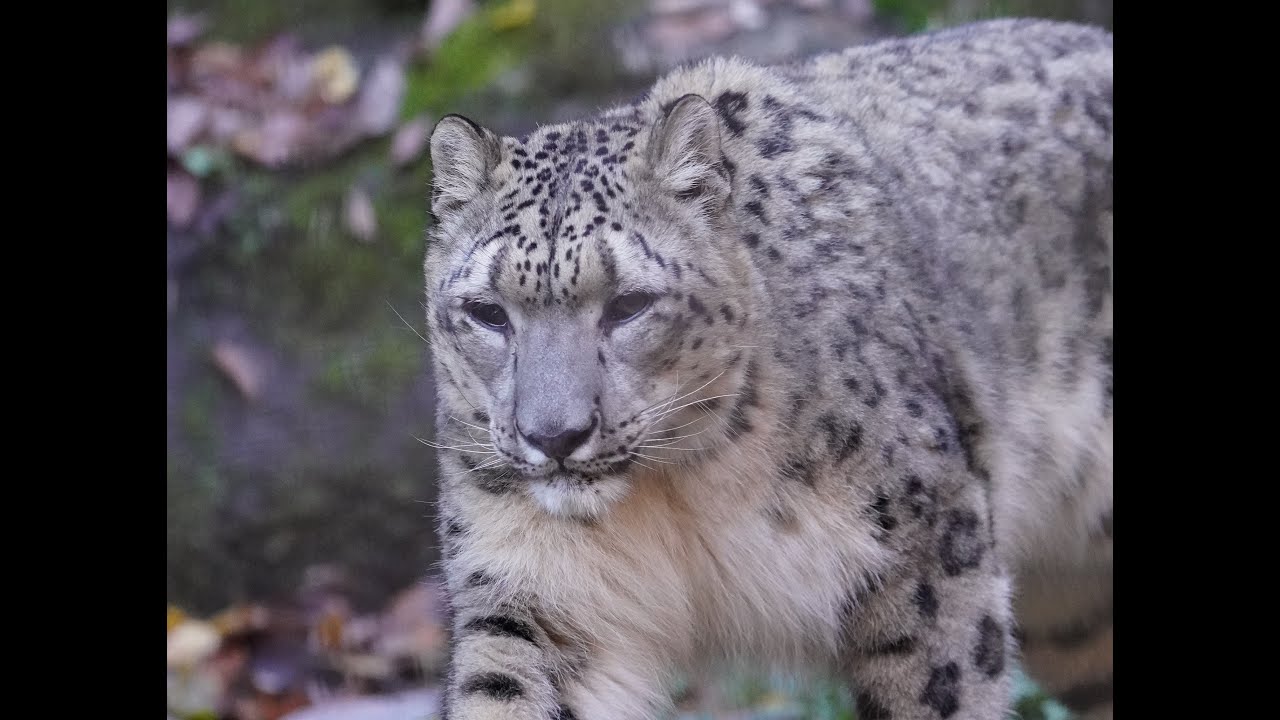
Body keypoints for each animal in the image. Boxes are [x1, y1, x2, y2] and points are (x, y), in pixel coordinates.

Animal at [422, 17, 1112, 720]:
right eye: (487, 312)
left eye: (628, 304)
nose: (554, 436)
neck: (672, 489)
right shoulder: (531, 589)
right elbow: (506, 689)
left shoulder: (928, 549)